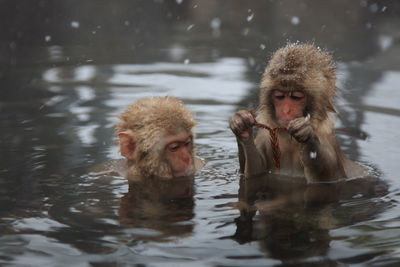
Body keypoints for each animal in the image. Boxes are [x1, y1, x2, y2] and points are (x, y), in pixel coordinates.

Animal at [230, 44, 368, 183]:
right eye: (280, 96)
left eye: (296, 97)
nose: (286, 110)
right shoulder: (265, 135)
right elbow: (256, 173)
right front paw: (241, 126)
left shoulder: (325, 136)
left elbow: (334, 177)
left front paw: (307, 136)